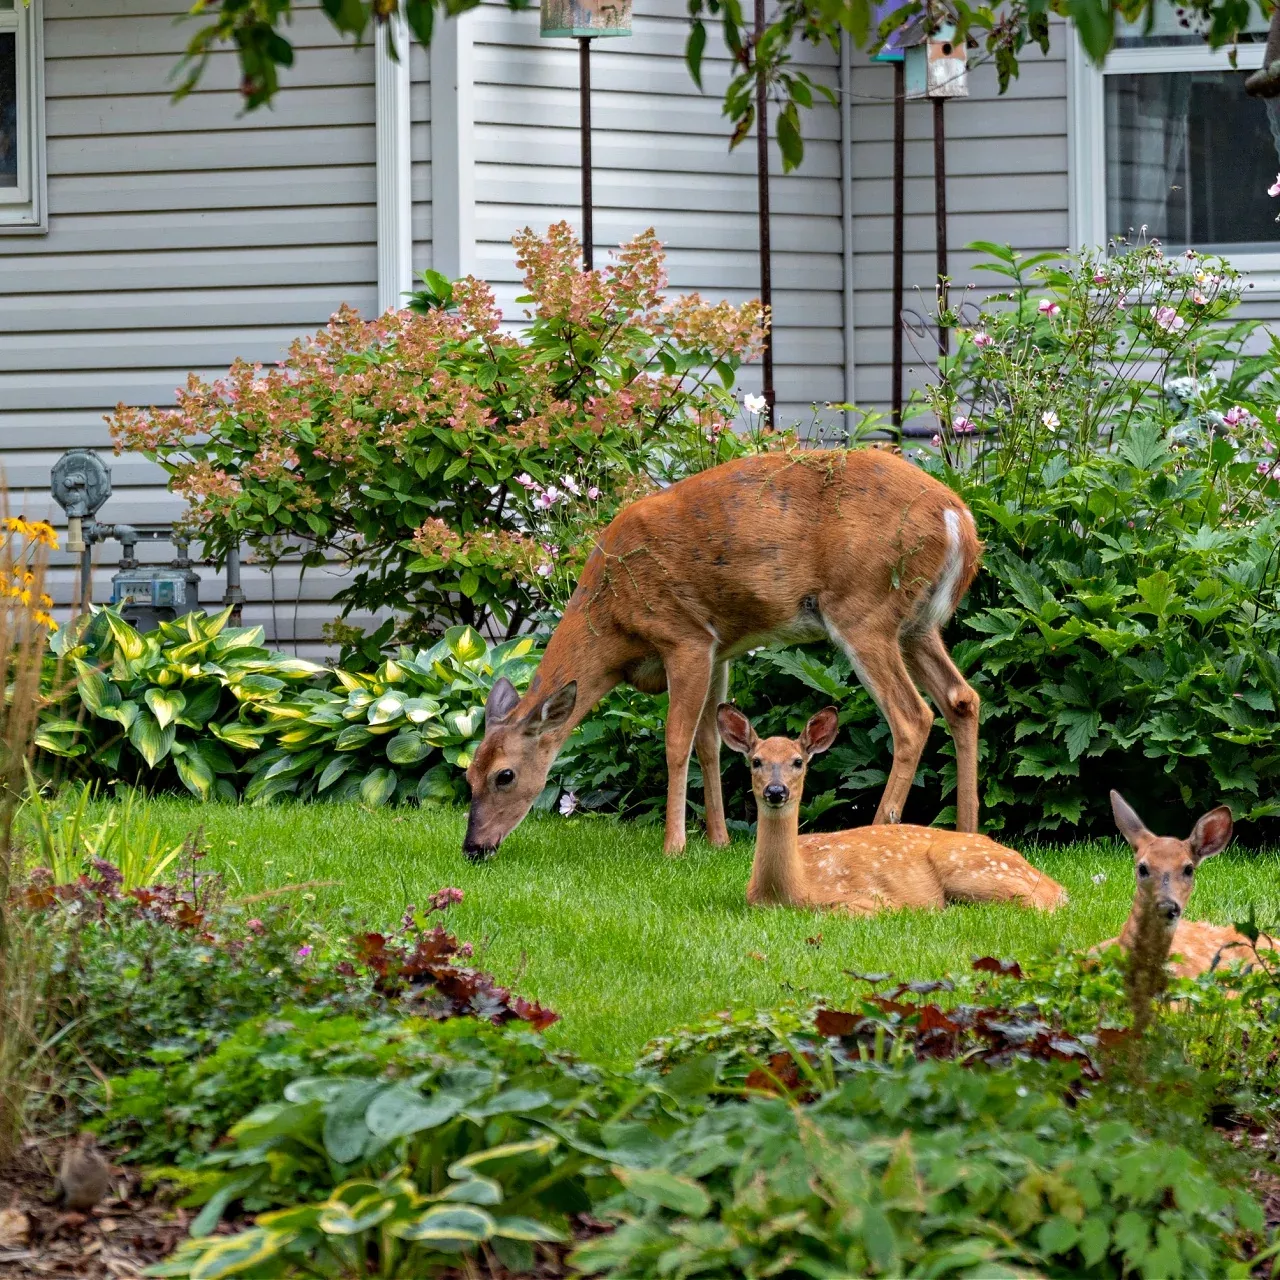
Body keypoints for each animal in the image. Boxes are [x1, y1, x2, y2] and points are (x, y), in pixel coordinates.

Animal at [463, 449, 984, 861]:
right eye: (469, 773)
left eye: (505, 776)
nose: (473, 848)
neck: (613, 622)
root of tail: (957, 516)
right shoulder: (719, 649)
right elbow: (710, 742)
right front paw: (718, 841)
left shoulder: (684, 636)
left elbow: (676, 741)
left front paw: (673, 847)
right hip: (916, 624)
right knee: (961, 698)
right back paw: (968, 835)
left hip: (864, 609)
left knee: (912, 715)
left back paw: (880, 833)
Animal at [715, 704, 1065, 912]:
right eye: (756, 761)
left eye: (798, 762)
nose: (776, 791)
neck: (790, 890)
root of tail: (1056, 885)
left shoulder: (868, 898)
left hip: (971, 870)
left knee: (1034, 904)